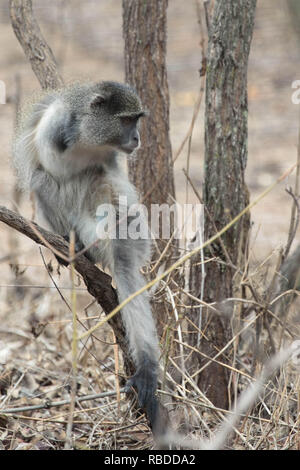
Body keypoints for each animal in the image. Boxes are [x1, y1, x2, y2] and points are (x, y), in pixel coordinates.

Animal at [13, 81, 161, 430]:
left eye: (137, 120)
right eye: (127, 121)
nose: (137, 139)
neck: (85, 138)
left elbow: (115, 190)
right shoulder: (54, 124)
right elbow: (42, 168)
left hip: (102, 234)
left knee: (121, 247)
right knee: (42, 180)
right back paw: (71, 248)